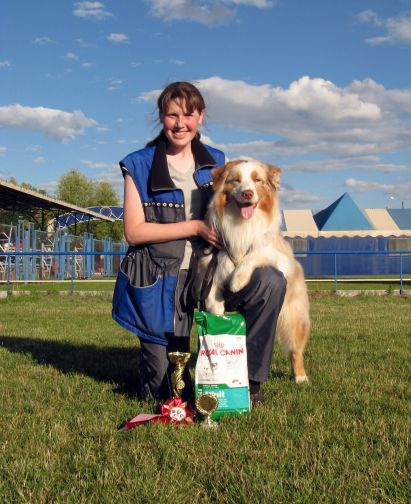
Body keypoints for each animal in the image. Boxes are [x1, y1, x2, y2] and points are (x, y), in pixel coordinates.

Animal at [194, 159, 310, 384]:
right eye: (235, 180)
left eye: (258, 180)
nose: (247, 193)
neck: (242, 224)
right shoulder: (211, 264)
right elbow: (211, 293)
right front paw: (217, 316)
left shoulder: (279, 257)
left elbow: (253, 255)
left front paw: (237, 280)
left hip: (293, 315)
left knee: (295, 350)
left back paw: (300, 377)